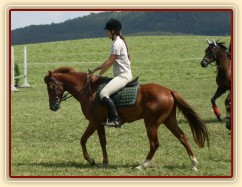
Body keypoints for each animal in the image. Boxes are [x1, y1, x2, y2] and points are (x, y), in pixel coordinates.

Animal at [44, 66, 210, 170]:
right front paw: (105, 162)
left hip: (151, 123)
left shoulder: (94, 121)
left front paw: (90, 160)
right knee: (183, 137)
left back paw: (142, 165)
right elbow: (102, 142)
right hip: (169, 120)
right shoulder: (99, 123)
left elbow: (83, 140)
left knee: (154, 144)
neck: (88, 91)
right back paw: (193, 163)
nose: (52, 107)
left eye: (51, 88)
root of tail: (169, 91)